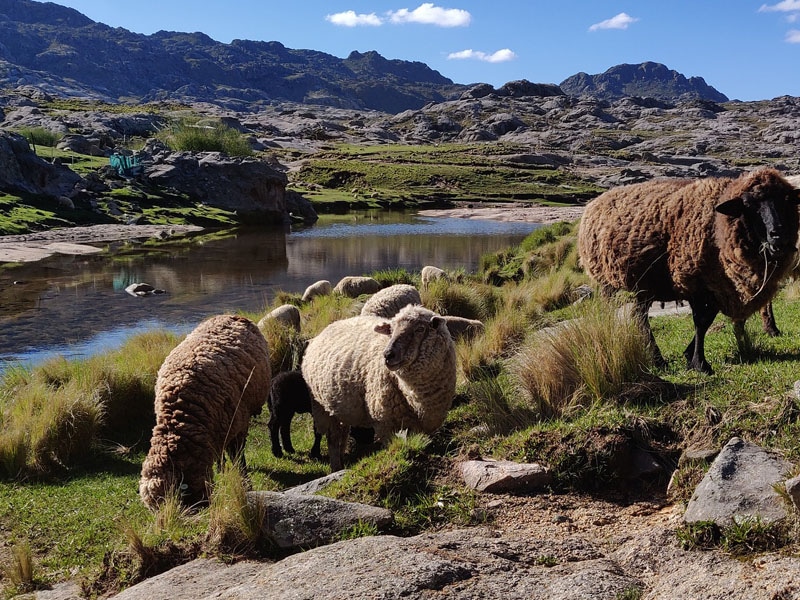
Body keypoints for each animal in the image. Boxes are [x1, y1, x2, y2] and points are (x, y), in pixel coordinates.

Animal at [302, 302, 456, 472]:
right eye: (391, 330)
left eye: (420, 329)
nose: (388, 355)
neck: (415, 397)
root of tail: (327, 328)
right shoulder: (384, 422)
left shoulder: (421, 424)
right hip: (322, 407)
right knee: (333, 439)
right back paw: (336, 467)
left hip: (341, 409)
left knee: (342, 434)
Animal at [580, 169, 796, 372]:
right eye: (749, 205)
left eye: (785, 200)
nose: (778, 234)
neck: (718, 227)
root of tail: (594, 202)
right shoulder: (694, 282)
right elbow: (700, 322)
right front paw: (700, 364)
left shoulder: (716, 286)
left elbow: (708, 319)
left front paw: (688, 355)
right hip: (606, 281)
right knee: (617, 312)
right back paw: (652, 356)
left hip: (644, 284)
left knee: (639, 316)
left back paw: (657, 359)